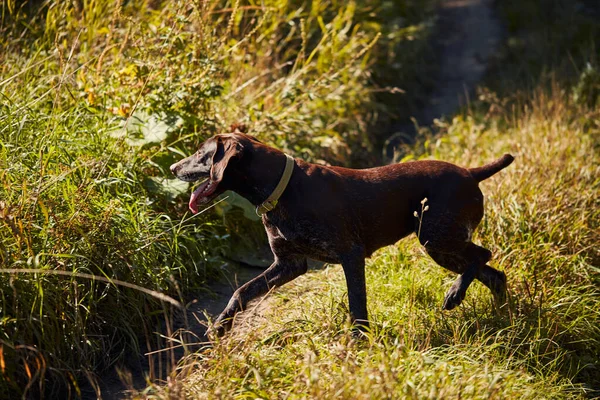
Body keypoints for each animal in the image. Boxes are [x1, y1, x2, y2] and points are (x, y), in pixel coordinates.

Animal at [171, 132, 512, 334]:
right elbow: (242, 291)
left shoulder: (351, 254)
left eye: (201, 154)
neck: (283, 190)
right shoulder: (289, 265)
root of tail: (470, 173)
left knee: (483, 255)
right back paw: (503, 318)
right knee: (495, 274)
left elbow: (356, 304)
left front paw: (359, 341)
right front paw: (220, 326)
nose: (173, 167)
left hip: (437, 237)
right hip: (443, 247)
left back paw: (456, 294)